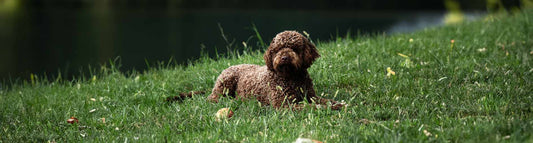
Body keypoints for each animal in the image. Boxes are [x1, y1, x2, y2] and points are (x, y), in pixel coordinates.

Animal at [206, 31, 342, 109]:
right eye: (278, 49)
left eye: (294, 48)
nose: (284, 58)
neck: (292, 77)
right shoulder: (283, 105)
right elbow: (309, 107)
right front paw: (324, 108)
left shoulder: (311, 96)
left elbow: (327, 101)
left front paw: (339, 104)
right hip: (225, 83)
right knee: (213, 98)